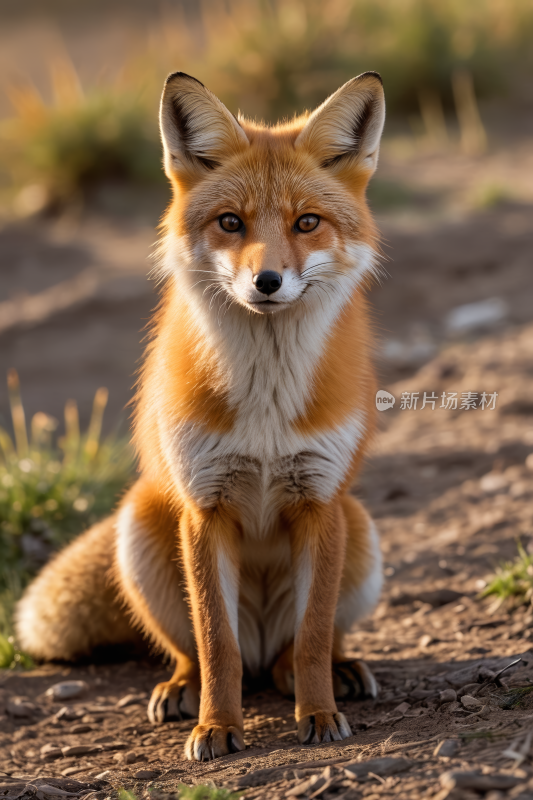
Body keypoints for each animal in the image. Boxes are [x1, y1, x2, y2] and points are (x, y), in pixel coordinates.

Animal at [14, 70, 384, 764]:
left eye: (307, 222)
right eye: (231, 223)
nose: (268, 281)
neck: (266, 402)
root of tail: (266, 645)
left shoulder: (318, 501)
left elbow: (314, 634)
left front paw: (319, 715)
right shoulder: (205, 506)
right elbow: (216, 643)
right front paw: (217, 727)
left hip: (359, 526)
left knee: (299, 648)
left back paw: (328, 673)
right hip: (142, 524)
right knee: (204, 652)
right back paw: (184, 689)